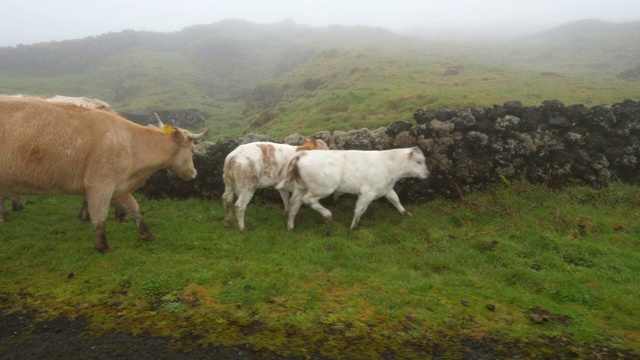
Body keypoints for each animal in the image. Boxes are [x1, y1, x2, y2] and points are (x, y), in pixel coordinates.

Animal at [276, 147, 430, 229]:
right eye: (419, 161)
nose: (427, 174)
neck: (387, 164)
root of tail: (302, 154)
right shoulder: (367, 193)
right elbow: (360, 209)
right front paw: (353, 226)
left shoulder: (386, 189)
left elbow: (396, 200)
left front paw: (405, 213)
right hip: (323, 188)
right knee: (307, 200)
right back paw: (327, 215)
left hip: (301, 187)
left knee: (295, 202)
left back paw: (290, 225)